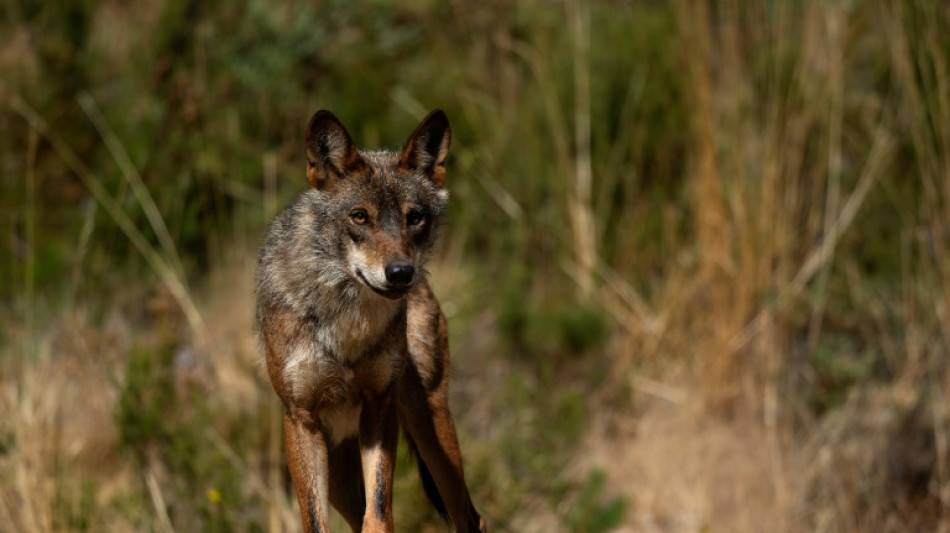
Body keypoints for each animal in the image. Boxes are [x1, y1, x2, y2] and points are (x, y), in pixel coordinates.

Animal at [256, 109, 488, 532]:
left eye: (415, 218)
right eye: (360, 217)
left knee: (471, 518)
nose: (401, 273)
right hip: (339, 477)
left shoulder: (380, 406)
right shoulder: (300, 420)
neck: (347, 322)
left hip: (430, 425)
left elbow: (379, 513)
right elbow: (316, 522)